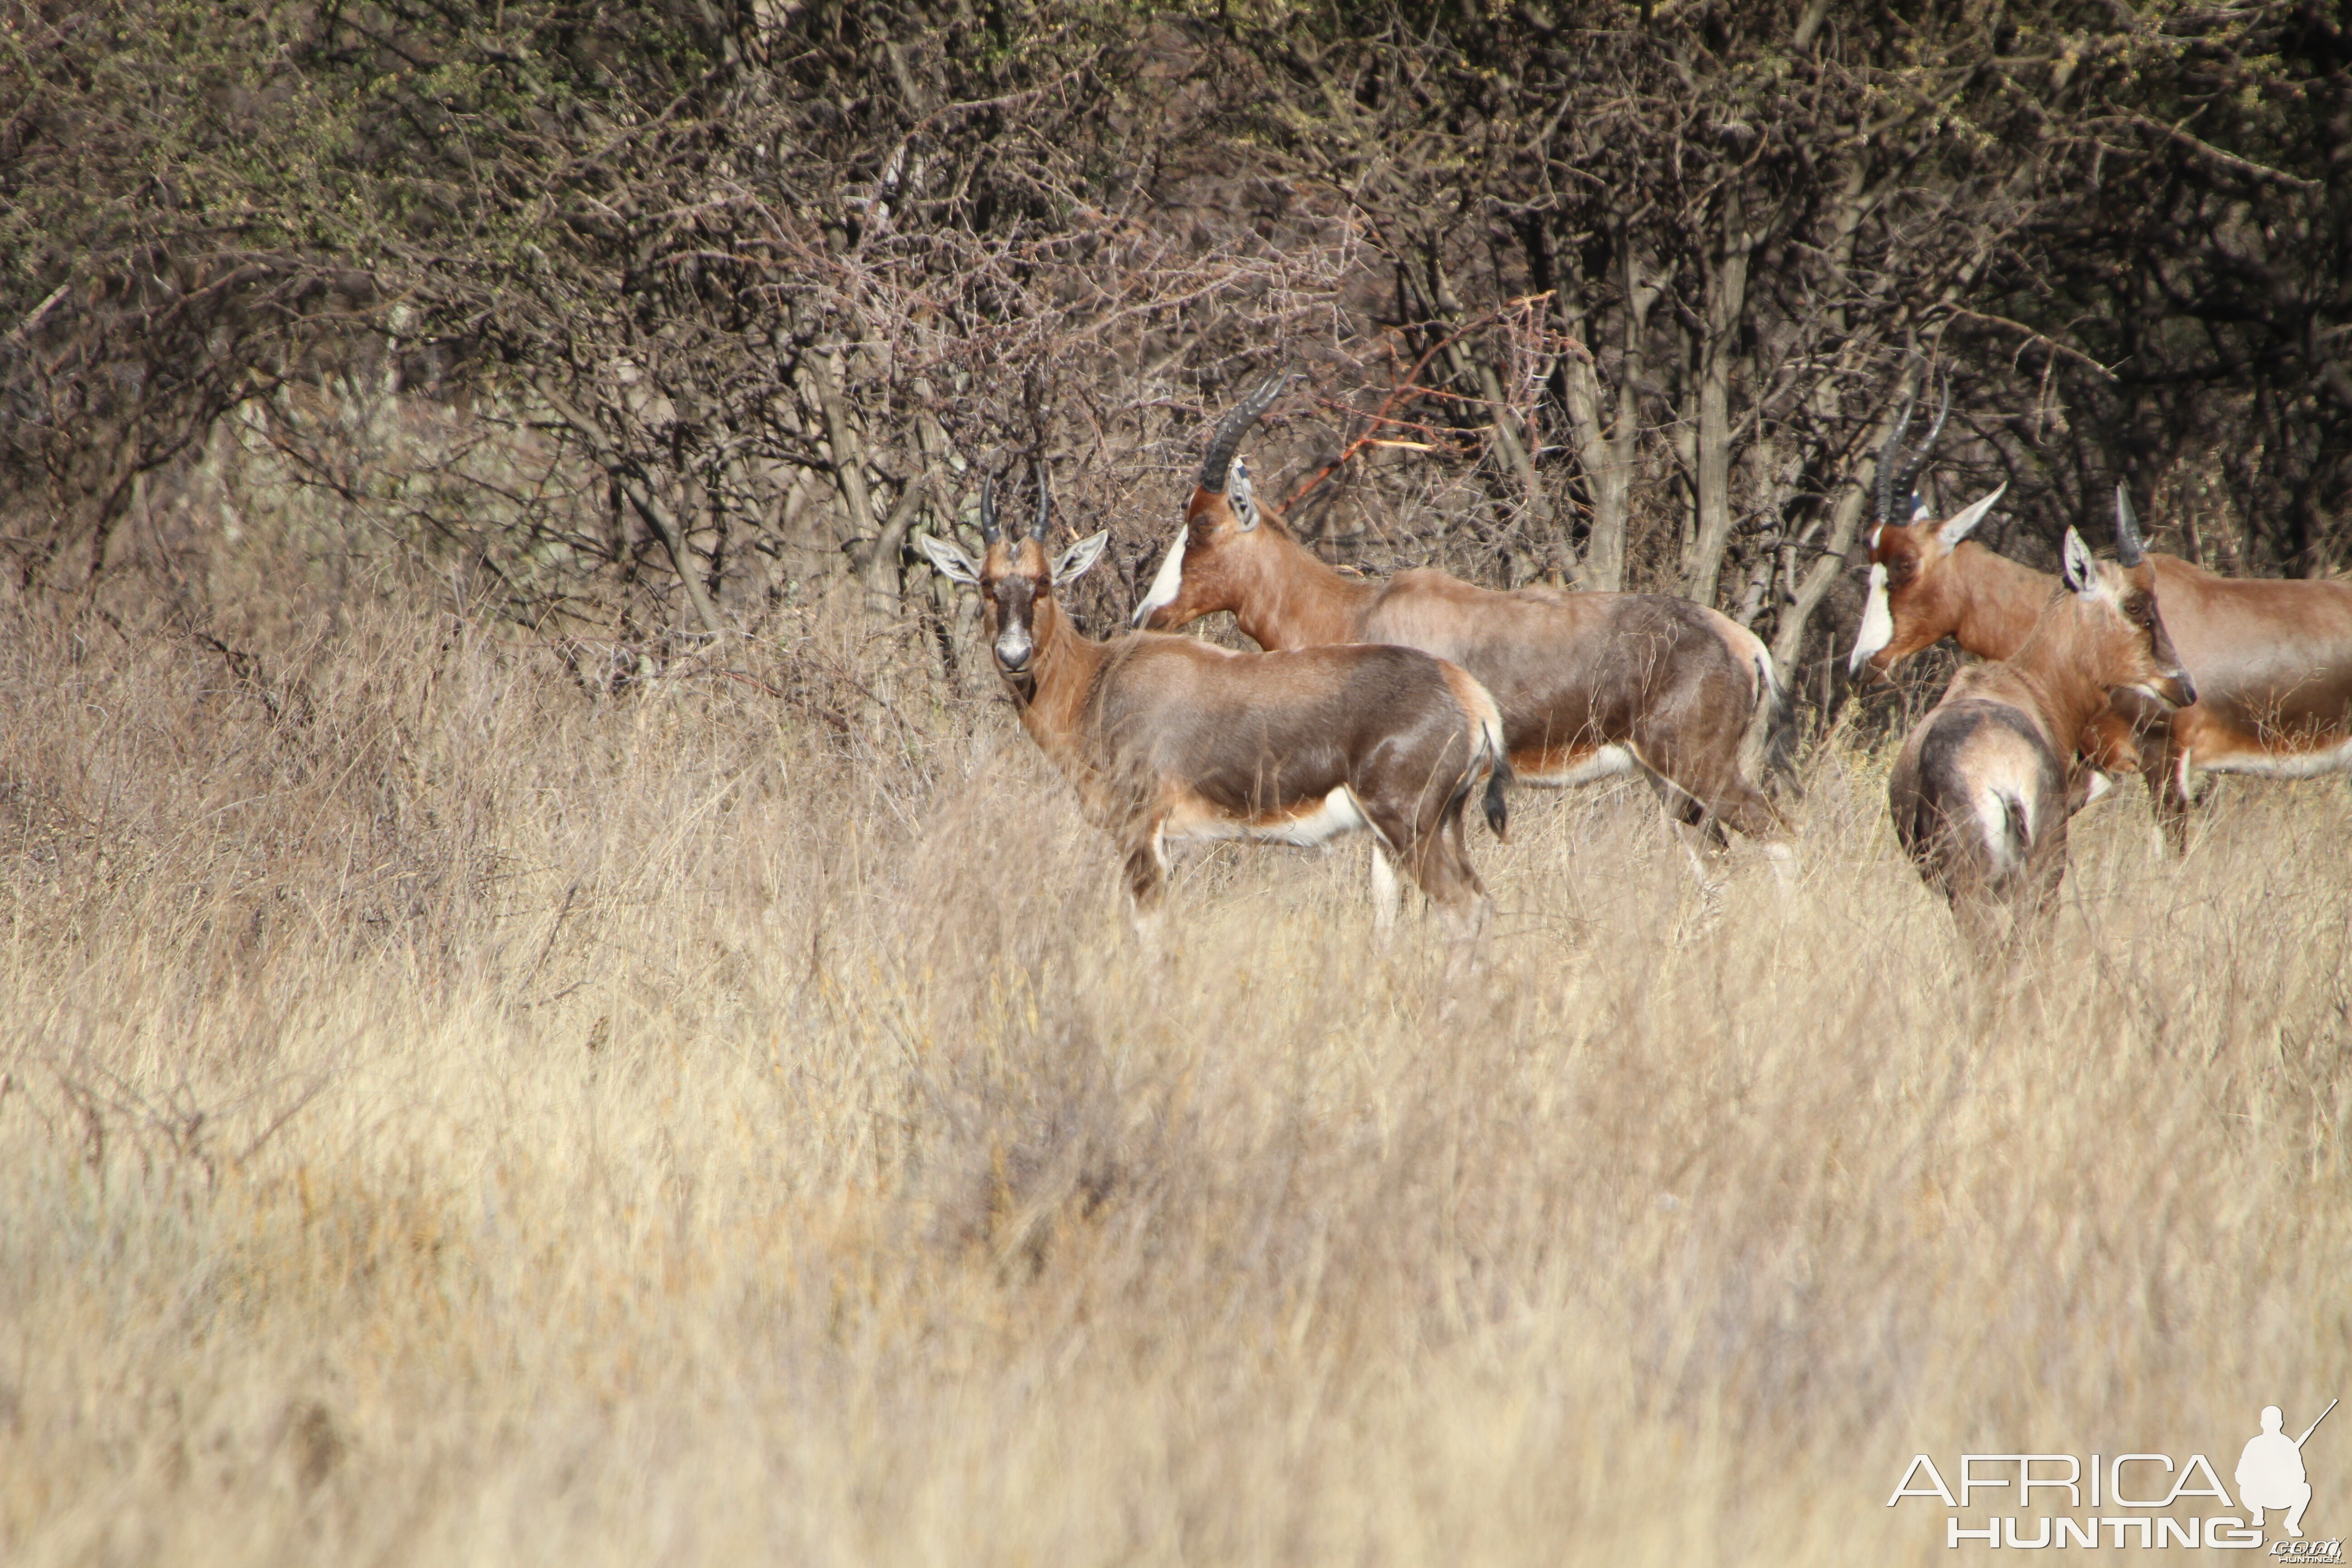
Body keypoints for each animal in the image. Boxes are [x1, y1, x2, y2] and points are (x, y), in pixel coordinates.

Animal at [917, 463, 1505, 959]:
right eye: (987, 583)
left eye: (1043, 583)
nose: (1014, 657)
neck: (1100, 677)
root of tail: (1469, 696)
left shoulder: (1141, 832)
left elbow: (1151, 934)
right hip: (1443, 825)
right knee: (1479, 902)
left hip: (1409, 827)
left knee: (1462, 908)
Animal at [1138, 376, 1797, 870]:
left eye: (1203, 525)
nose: (1149, 614)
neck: (1360, 610)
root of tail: (1743, 644)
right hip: (1669, 781)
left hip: (1698, 768)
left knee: (1779, 836)